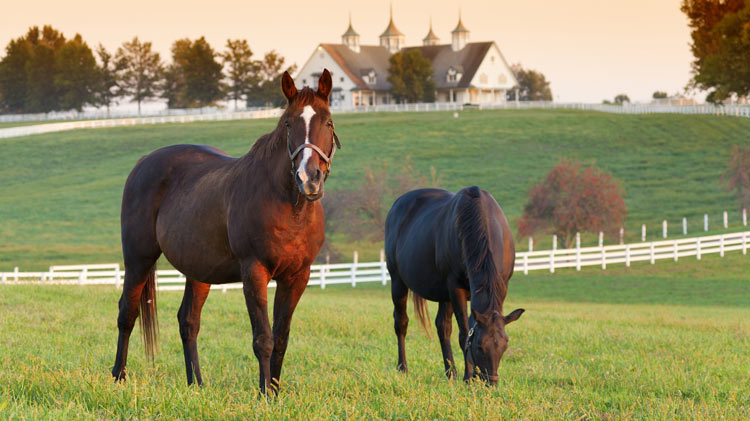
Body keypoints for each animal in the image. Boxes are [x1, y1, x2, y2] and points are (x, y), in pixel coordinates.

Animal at [111, 69, 340, 394]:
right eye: (288, 123)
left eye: (328, 122)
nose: (309, 178)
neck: (289, 207)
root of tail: (143, 162)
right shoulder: (254, 271)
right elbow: (263, 338)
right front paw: (264, 395)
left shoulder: (297, 276)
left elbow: (281, 338)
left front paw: (275, 391)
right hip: (138, 260)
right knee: (127, 313)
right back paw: (119, 376)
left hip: (198, 270)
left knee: (188, 321)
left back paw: (196, 384)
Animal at [384, 185, 524, 382]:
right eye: (479, 346)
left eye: (505, 345)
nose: (491, 382)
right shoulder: (456, 289)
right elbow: (464, 333)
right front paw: (469, 377)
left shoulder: (500, 288)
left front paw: (471, 375)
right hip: (398, 283)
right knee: (401, 323)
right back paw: (403, 367)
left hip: (443, 294)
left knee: (442, 327)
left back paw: (451, 373)